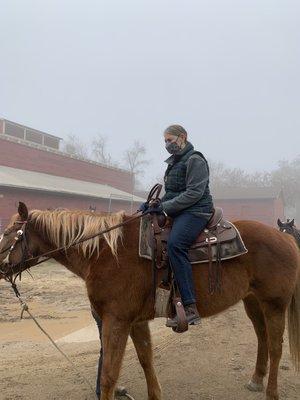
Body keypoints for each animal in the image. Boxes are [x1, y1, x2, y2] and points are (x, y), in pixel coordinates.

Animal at [0, 203, 298, 400]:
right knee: (262, 339)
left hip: (274, 304)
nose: (0, 267)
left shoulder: (116, 321)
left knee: (276, 347)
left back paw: (271, 392)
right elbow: (145, 359)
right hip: (253, 303)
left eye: (9, 232)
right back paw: (256, 380)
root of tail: (285, 238)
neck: (106, 252)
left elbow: (109, 375)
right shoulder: (135, 322)